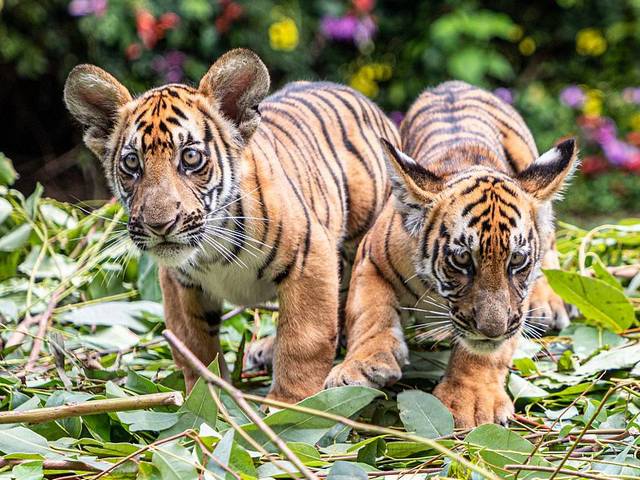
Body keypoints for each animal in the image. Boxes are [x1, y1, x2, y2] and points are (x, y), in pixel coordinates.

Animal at [64, 49, 398, 403]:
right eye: (131, 163)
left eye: (191, 158)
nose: (160, 225)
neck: (211, 248)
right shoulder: (179, 283)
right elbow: (194, 347)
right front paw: (207, 401)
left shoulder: (310, 257)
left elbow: (303, 341)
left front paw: (289, 404)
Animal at [325, 81, 577, 427]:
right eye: (461, 260)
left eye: (516, 260)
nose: (492, 329)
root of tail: (453, 84)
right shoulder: (371, 260)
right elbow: (368, 313)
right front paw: (362, 366)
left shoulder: (514, 307)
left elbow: (484, 352)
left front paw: (471, 403)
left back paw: (549, 305)